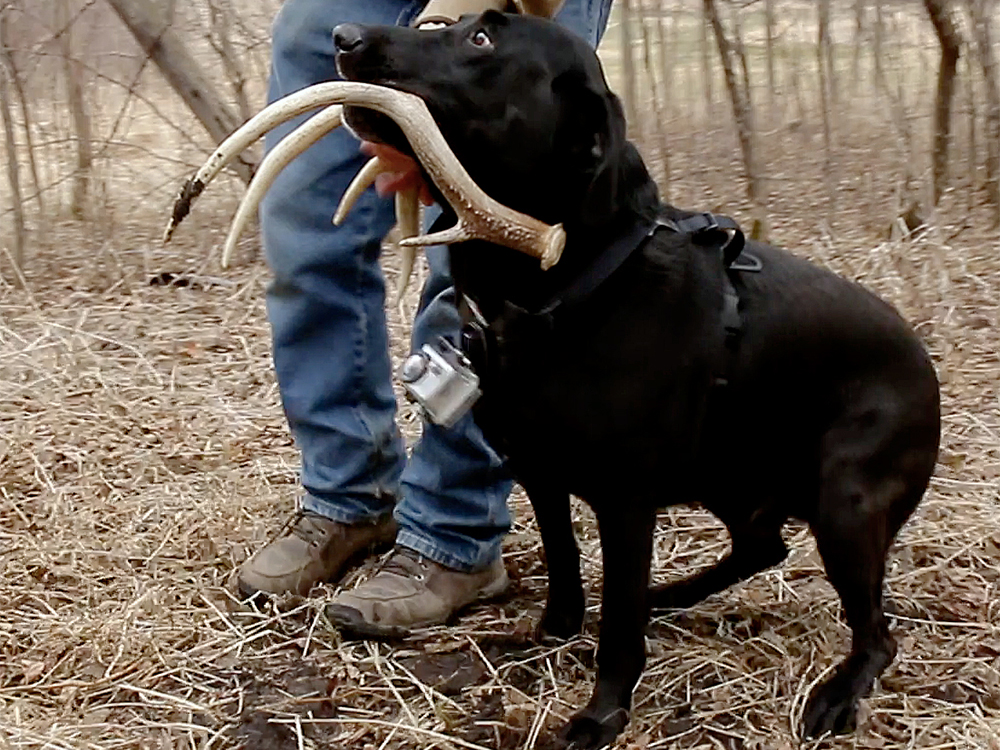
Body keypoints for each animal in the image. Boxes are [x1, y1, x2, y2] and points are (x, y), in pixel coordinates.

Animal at [332, 13, 940, 750]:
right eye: (439, 23)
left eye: (482, 41)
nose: (343, 35)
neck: (561, 292)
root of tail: (927, 367)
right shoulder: (538, 471)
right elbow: (565, 565)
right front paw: (549, 634)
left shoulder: (625, 502)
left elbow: (619, 620)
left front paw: (602, 713)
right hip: (728, 476)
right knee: (763, 546)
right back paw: (672, 595)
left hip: (845, 503)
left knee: (876, 632)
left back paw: (836, 694)